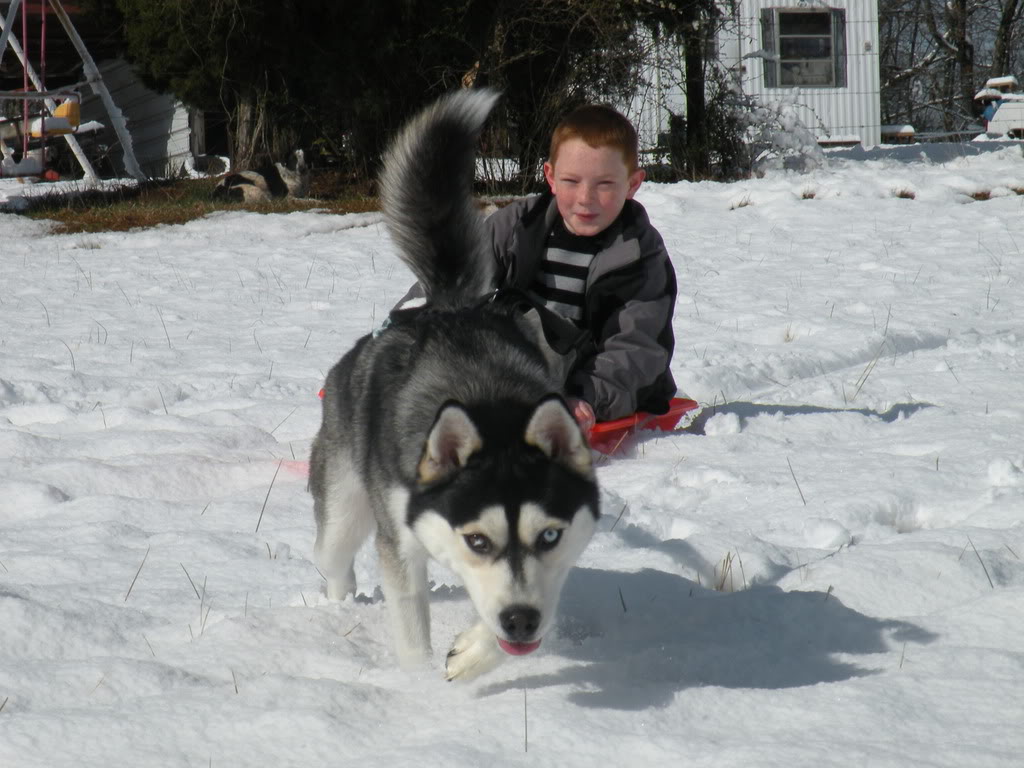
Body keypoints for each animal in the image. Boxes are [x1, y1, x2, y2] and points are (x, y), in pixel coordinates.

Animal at [311, 91, 598, 684]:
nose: (519, 621)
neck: (487, 401)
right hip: (343, 509)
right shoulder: (401, 544)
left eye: (549, 536)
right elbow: (410, 622)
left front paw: (473, 653)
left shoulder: (556, 563)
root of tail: (445, 308)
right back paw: (340, 604)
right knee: (333, 559)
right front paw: (418, 685)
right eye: (477, 540)